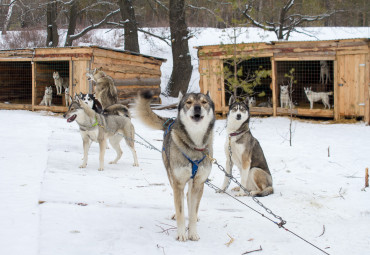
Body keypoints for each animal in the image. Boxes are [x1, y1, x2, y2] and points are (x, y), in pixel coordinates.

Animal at [136, 90, 215, 242]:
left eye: (204, 102)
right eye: (189, 102)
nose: (197, 107)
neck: (194, 146)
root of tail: (170, 122)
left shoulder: (199, 183)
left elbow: (193, 211)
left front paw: (193, 232)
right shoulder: (178, 182)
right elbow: (180, 211)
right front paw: (181, 234)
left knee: (189, 197)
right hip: (172, 177)